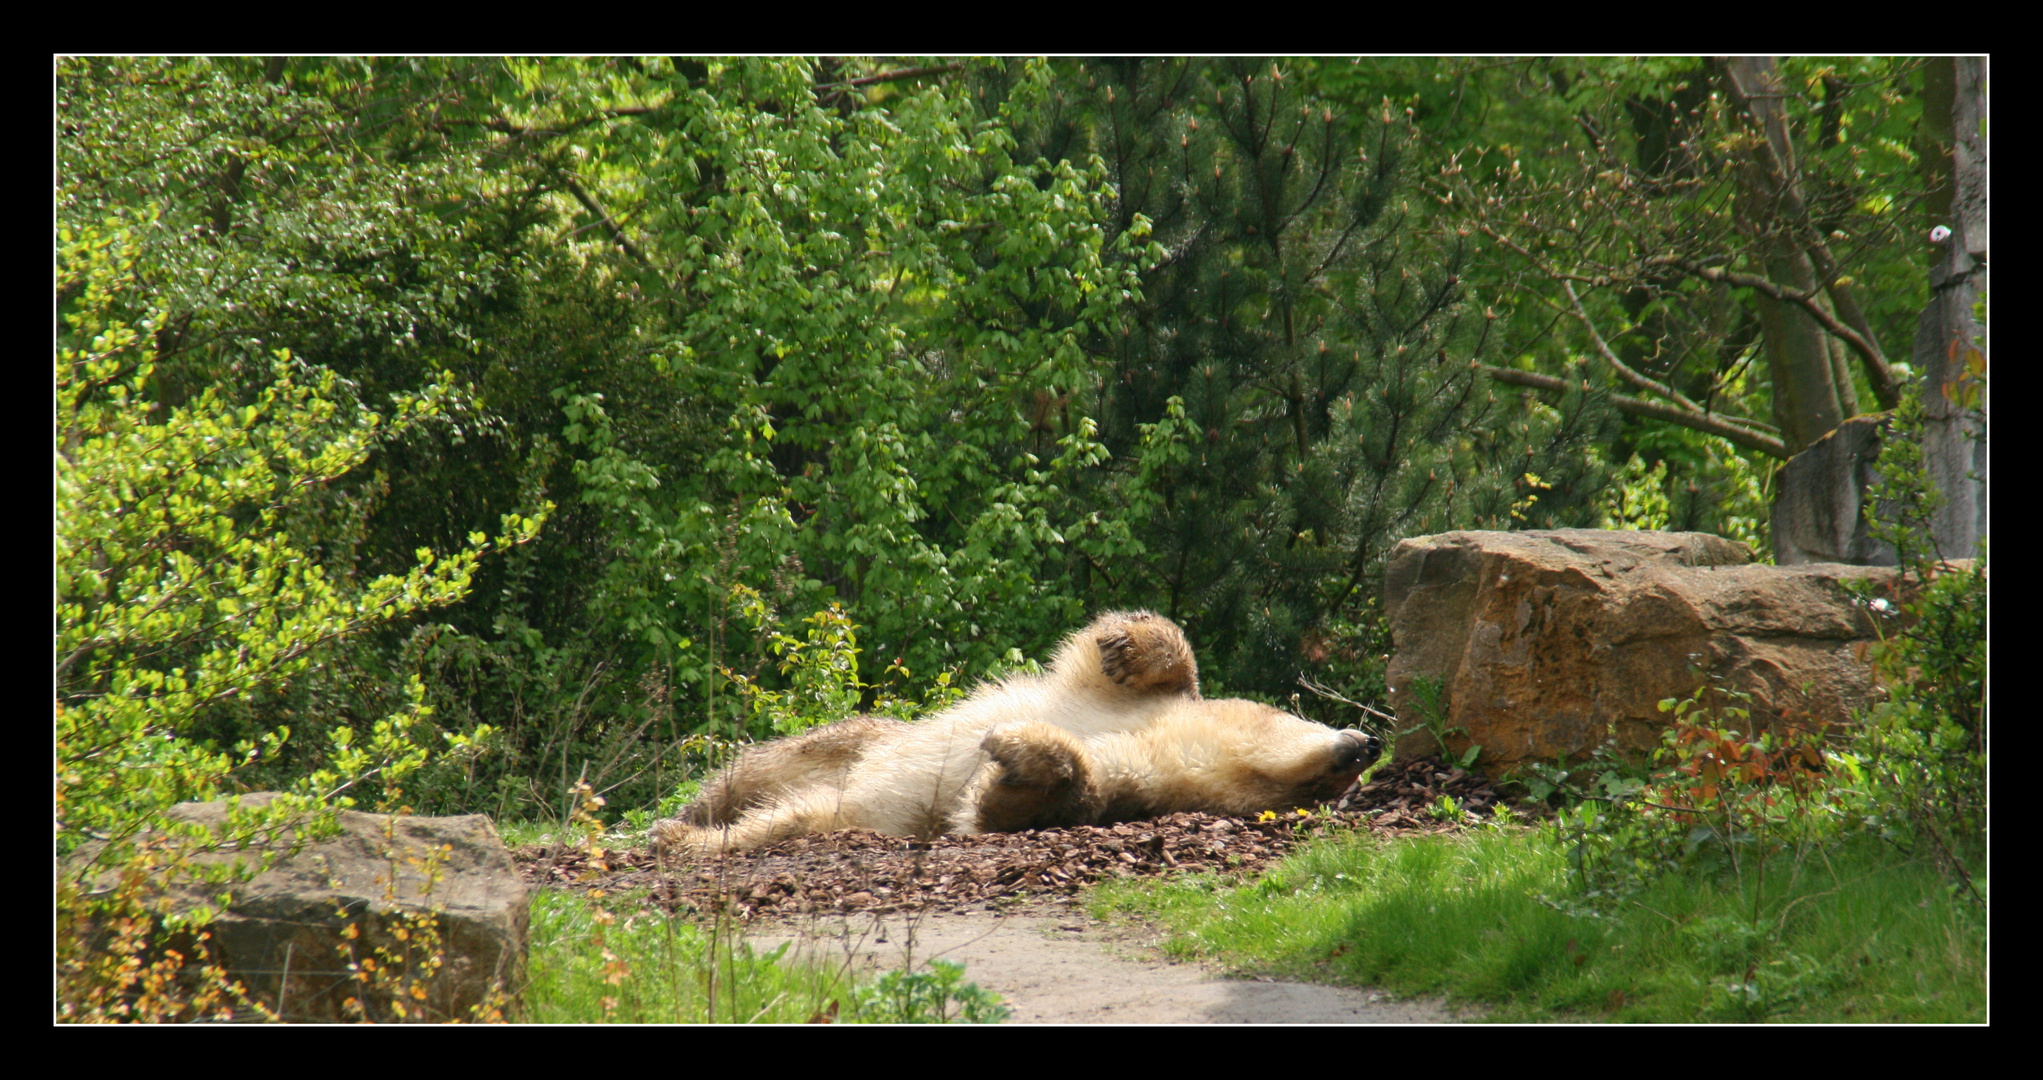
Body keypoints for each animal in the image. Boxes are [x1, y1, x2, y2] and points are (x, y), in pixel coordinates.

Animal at [653, 604, 1389, 849]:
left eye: (1320, 792)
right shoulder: (1116, 702)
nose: (1368, 743)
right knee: (768, 766)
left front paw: (1013, 757)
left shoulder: (1130, 783)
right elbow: (1141, 660)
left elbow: (1052, 795)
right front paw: (1126, 644)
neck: (1159, 741)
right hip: (858, 739)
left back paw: (682, 837)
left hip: (846, 808)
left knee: (790, 819)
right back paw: (686, 814)